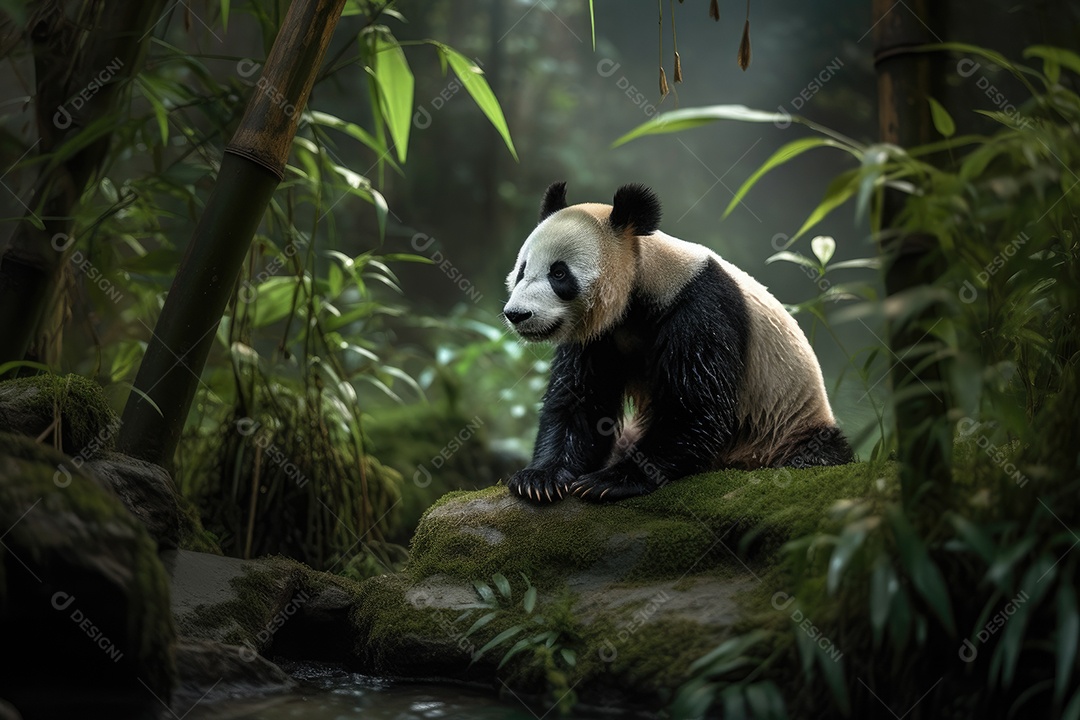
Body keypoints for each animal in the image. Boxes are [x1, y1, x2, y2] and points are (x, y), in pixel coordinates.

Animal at [502, 182, 853, 503]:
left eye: (559, 274)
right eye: (522, 270)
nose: (516, 314)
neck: (643, 280)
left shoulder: (699, 309)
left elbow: (695, 407)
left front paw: (610, 480)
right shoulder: (599, 333)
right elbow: (580, 400)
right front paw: (540, 478)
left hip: (785, 429)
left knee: (815, 454)